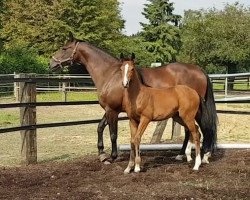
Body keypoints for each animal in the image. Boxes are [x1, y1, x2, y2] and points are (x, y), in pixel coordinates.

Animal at [49, 32, 217, 163]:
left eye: (64, 48)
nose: (51, 63)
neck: (111, 74)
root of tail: (200, 70)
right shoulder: (110, 109)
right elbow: (100, 127)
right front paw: (102, 154)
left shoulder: (112, 110)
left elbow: (113, 133)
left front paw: (113, 156)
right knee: (191, 130)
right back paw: (184, 155)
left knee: (199, 129)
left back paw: (200, 155)